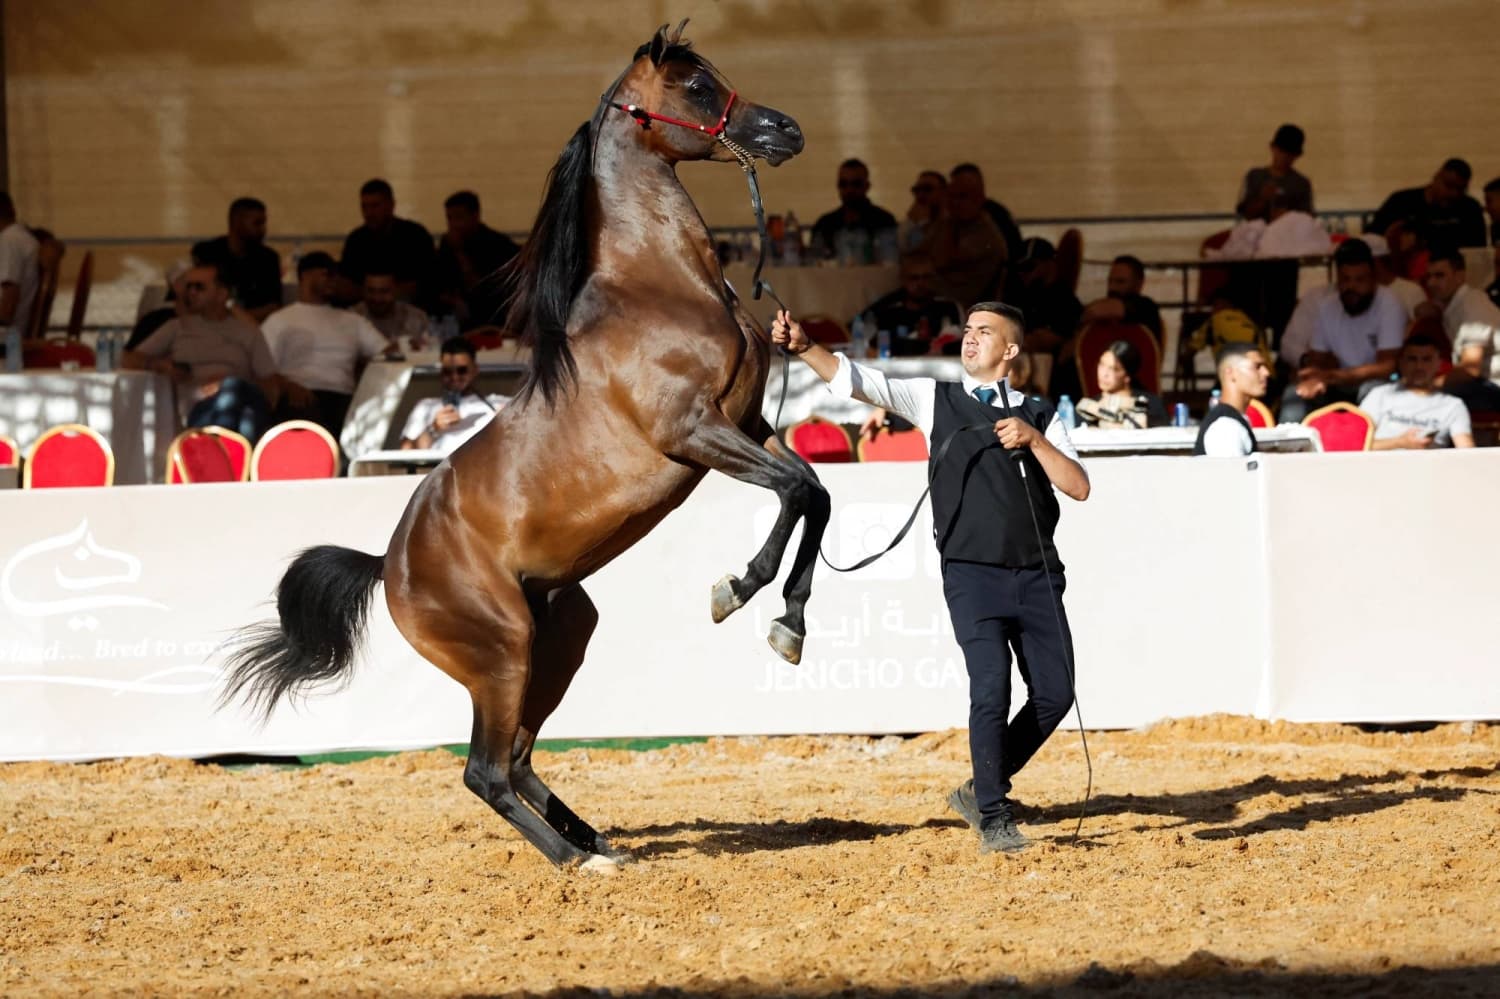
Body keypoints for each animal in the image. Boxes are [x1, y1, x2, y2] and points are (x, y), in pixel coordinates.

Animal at [221, 23, 828, 872]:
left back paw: (595, 838)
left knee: (518, 758)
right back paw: (578, 859)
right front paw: (739, 591)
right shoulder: (695, 433)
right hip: (502, 650)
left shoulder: (747, 426)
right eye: (697, 88)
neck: (661, 292)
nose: (786, 130)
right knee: (485, 770)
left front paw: (789, 625)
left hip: (561, 631)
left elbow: (814, 489)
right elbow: (796, 492)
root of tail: (389, 564)